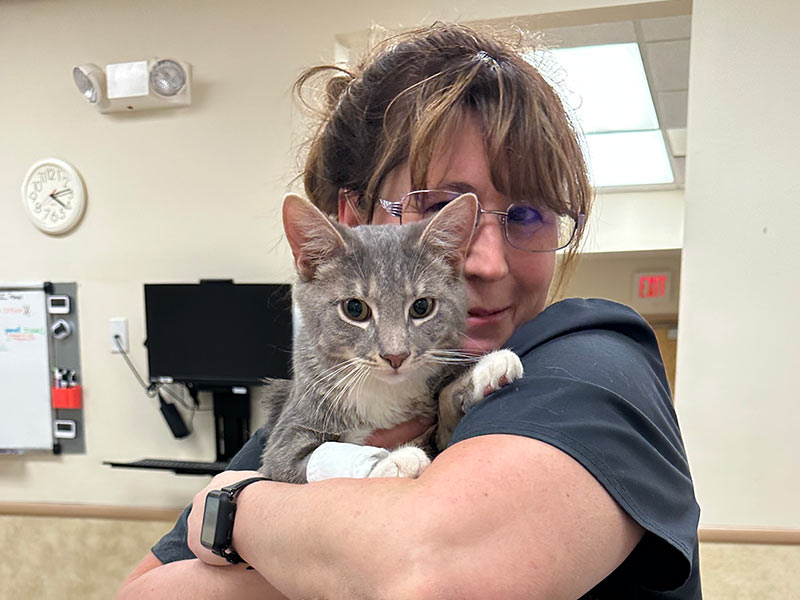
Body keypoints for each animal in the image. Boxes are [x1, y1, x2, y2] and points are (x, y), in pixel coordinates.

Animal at [260, 192, 520, 482]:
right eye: (355, 308)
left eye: (422, 307)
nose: (396, 355)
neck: (384, 389)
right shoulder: (282, 447)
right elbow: (320, 460)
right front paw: (391, 461)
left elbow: (444, 411)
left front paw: (487, 369)